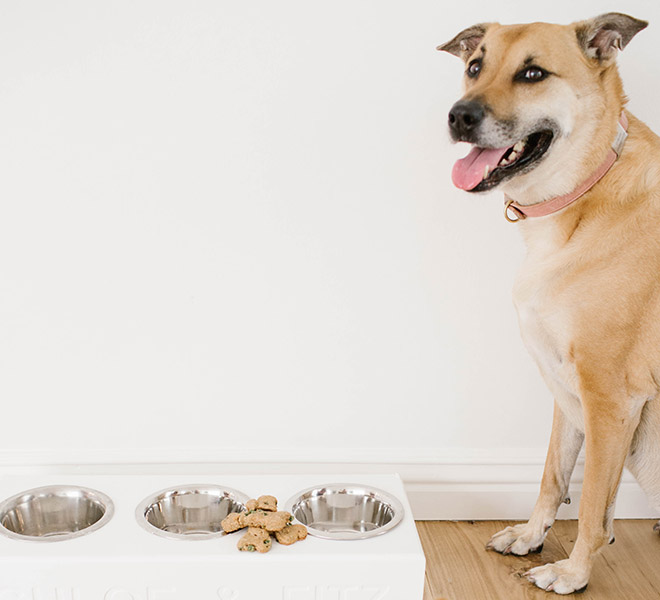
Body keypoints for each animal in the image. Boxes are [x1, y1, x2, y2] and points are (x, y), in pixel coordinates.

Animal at [438, 12, 660, 596]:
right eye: (475, 67)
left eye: (533, 73)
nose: (459, 116)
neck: (586, 191)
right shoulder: (567, 388)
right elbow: (554, 475)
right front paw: (531, 535)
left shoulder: (610, 398)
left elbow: (591, 505)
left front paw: (573, 571)